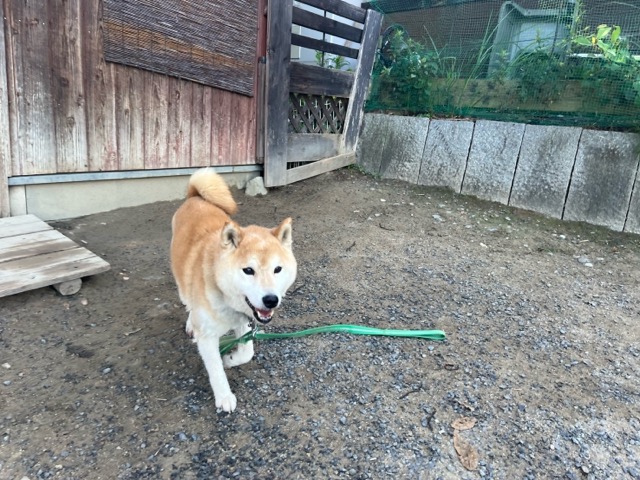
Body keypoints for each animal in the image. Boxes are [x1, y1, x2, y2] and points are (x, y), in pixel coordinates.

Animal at [170, 169, 297, 412]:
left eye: (277, 269)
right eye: (248, 270)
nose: (271, 300)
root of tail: (195, 197)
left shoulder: (244, 322)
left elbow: (247, 352)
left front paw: (231, 359)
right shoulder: (207, 337)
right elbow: (215, 369)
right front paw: (224, 396)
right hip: (181, 281)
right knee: (188, 302)